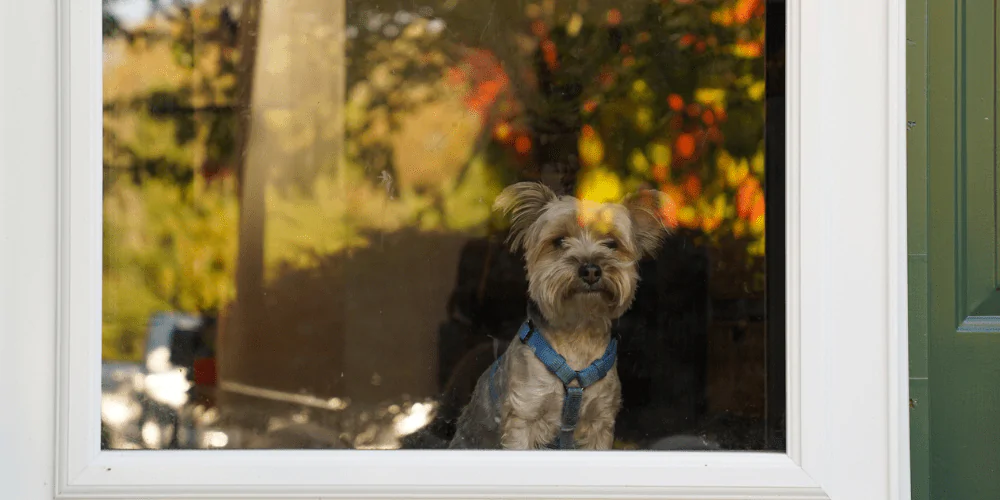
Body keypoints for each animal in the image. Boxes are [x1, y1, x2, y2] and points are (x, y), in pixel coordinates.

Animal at [452, 181, 672, 450]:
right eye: (559, 241)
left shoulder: (600, 421)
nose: (590, 269)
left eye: (612, 244)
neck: (577, 332)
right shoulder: (524, 414)